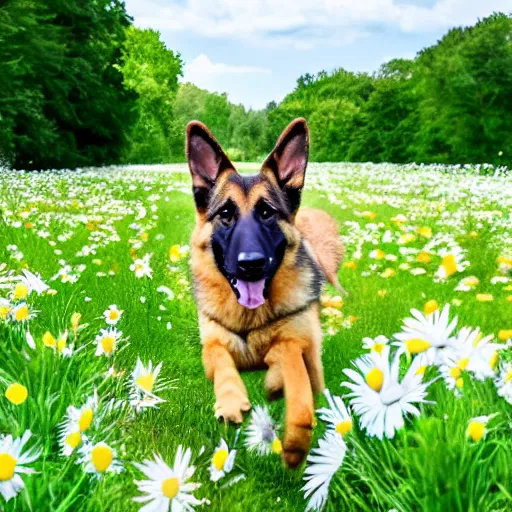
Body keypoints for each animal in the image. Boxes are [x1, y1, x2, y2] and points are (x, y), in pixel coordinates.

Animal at [186, 118, 342, 466]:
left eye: (267, 212)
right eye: (226, 214)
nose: (251, 264)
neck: (249, 319)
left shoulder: (299, 347)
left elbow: (293, 369)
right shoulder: (212, 344)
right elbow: (220, 357)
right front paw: (231, 399)